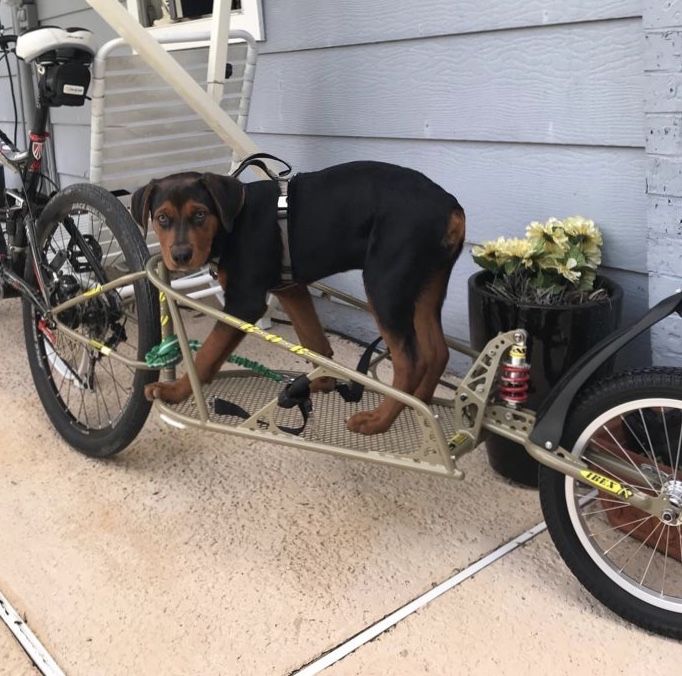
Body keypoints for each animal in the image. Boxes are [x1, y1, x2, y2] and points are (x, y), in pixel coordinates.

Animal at [131, 161, 464, 436]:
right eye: (162, 218)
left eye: (200, 214)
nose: (180, 256)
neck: (231, 222)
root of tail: (449, 205)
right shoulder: (290, 288)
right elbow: (314, 340)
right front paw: (319, 383)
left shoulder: (245, 302)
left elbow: (207, 353)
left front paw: (175, 391)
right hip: (427, 285)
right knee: (437, 351)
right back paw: (417, 407)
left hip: (386, 285)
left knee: (411, 361)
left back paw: (379, 421)